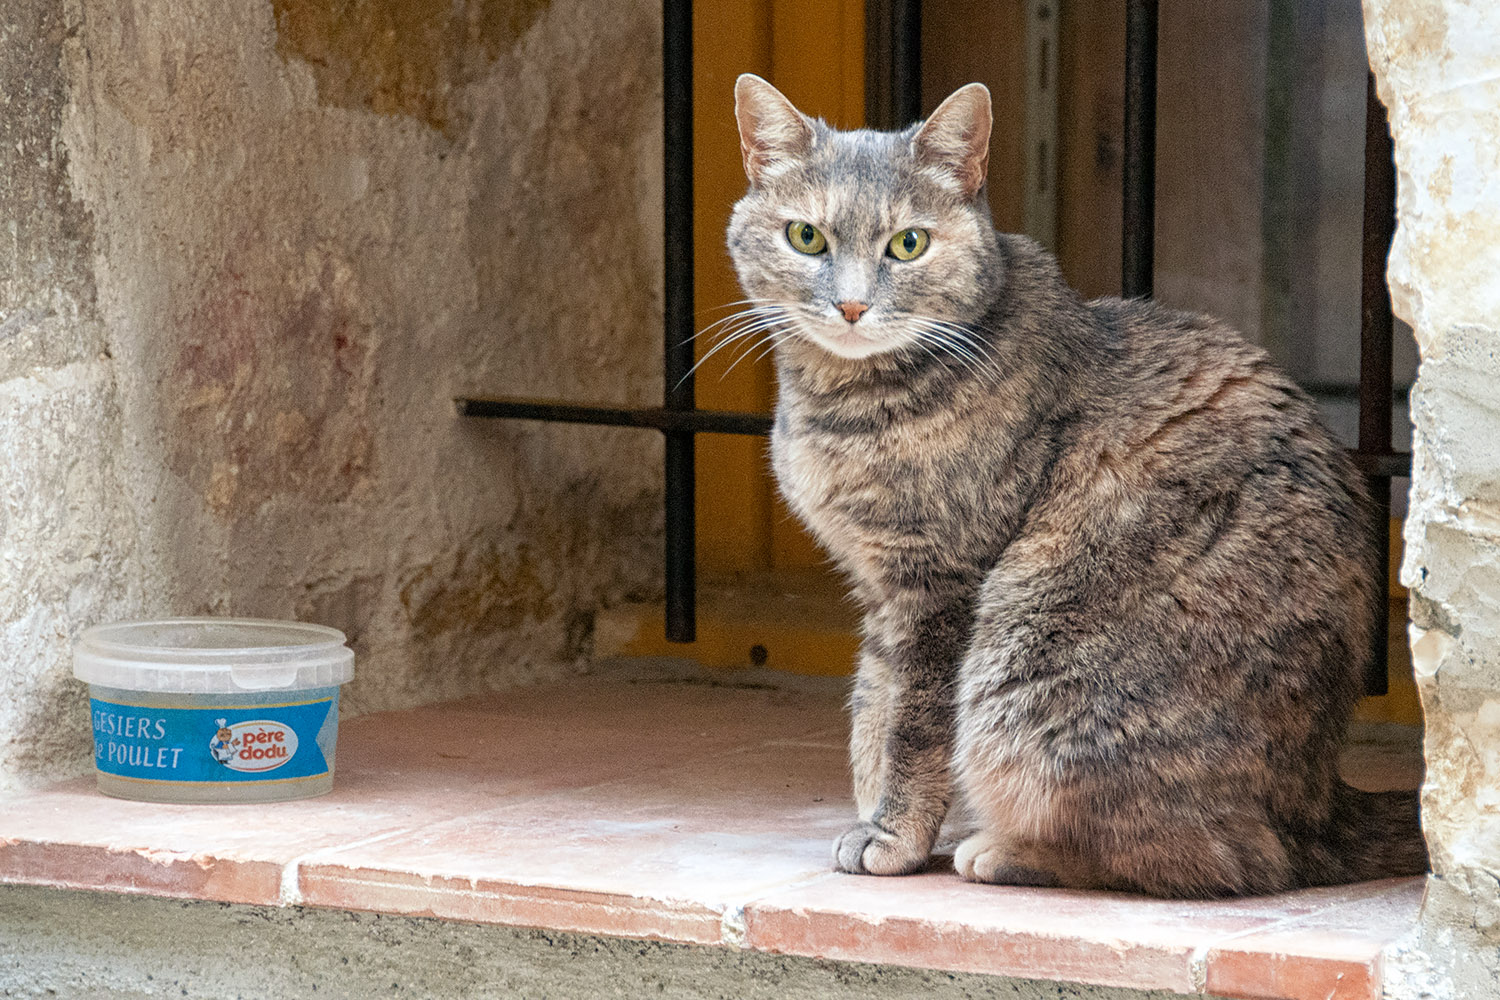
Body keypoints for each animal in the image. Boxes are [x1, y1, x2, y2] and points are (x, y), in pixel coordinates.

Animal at [726, 74, 1428, 893]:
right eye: (806, 237)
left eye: (909, 243)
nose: (851, 305)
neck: (843, 403)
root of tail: (1319, 801)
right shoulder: (879, 589)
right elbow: (873, 711)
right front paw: (874, 818)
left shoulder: (939, 588)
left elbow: (912, 727)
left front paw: (895, 834)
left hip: (1026, 667)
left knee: (1221, 858)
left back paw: (1006, 850)